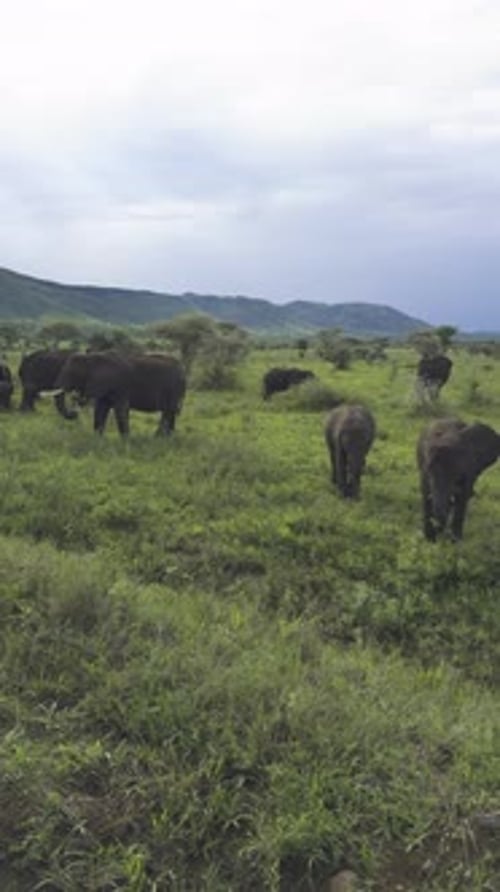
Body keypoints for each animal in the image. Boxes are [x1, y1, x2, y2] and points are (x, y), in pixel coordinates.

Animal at [53, 351, 186, 436]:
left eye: (72, 373)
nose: (74, 413)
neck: (90, 358)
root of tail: (182, 368)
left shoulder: (119, 386)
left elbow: (121, 410)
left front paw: (126, 441)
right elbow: (100, 409)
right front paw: (97, 439)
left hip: (174, 388)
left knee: (168, 412)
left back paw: (157, 438)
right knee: (170, 412)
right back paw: (167, 438)